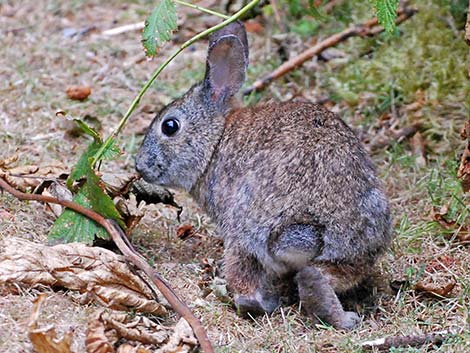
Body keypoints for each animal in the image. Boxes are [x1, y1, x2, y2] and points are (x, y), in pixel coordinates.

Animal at [137, 21, 392, 330]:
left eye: (170, 126)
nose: (140, 166)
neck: (216, 139)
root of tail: (319, 228)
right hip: (358, 253)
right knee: (322, 273)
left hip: (246, 227)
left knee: (247, 281)